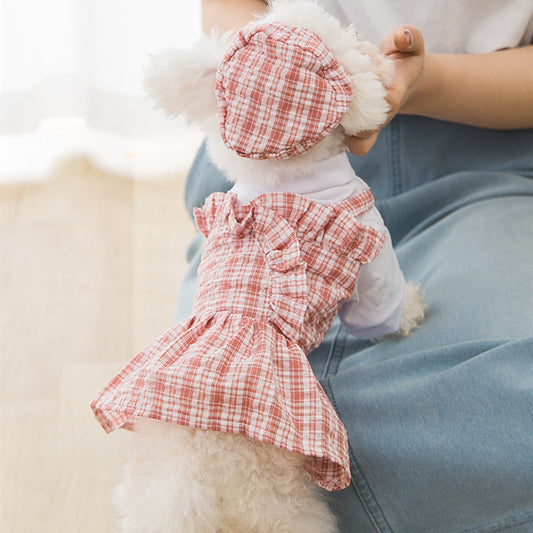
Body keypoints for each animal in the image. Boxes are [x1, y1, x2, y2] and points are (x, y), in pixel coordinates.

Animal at [91, 2, 424, 528]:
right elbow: (383, 306)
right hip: (286, 509)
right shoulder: (371, 241)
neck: (284, 180)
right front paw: (412, 309)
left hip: (144, 487)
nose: (376, 49)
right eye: (346, 37)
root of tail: (194, 481)